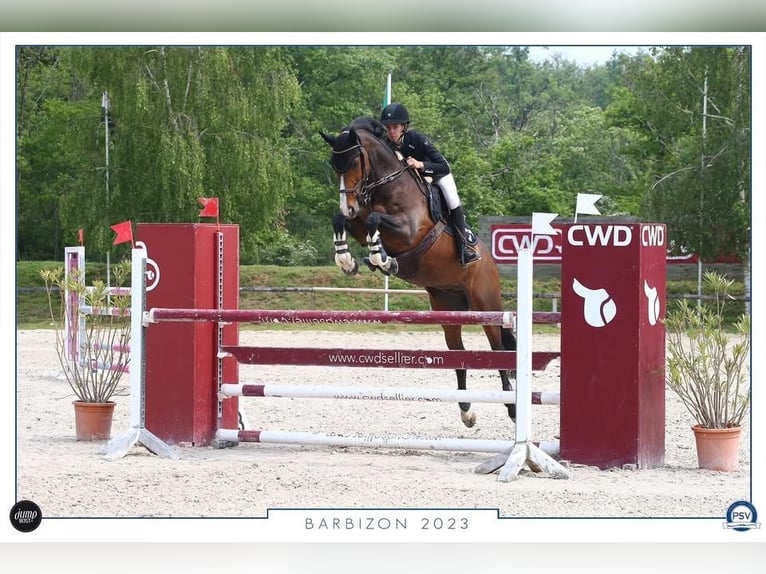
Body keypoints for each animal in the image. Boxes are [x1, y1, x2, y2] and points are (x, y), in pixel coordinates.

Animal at [320, 117, 520, 430]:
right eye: (333, 164)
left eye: (353, 162)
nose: (348, 204)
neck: (388, 185)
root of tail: (489, 262)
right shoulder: (359, 222)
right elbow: (343, 220)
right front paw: (347, 260)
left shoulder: (409, 230)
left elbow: (375, 219)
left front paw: (381, 258)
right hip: (447, 307)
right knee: (457, 352)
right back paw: (466, 411)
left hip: (486, 304)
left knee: (498, 350)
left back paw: (512, 409)